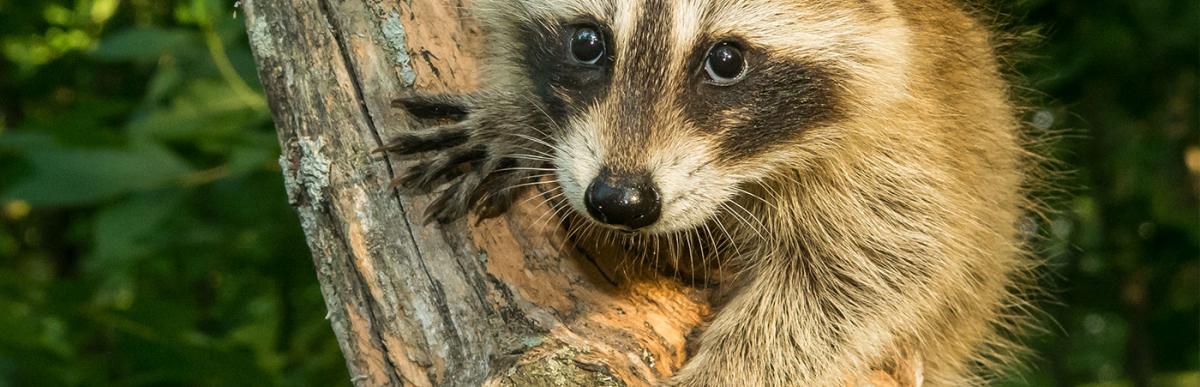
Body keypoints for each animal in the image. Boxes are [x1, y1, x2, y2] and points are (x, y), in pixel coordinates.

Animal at [381, 0, 1041, 384]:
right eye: (587, 42)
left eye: (726, 59)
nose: (619, 202)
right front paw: (514, 118)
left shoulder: (899, 152)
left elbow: (881, 270)